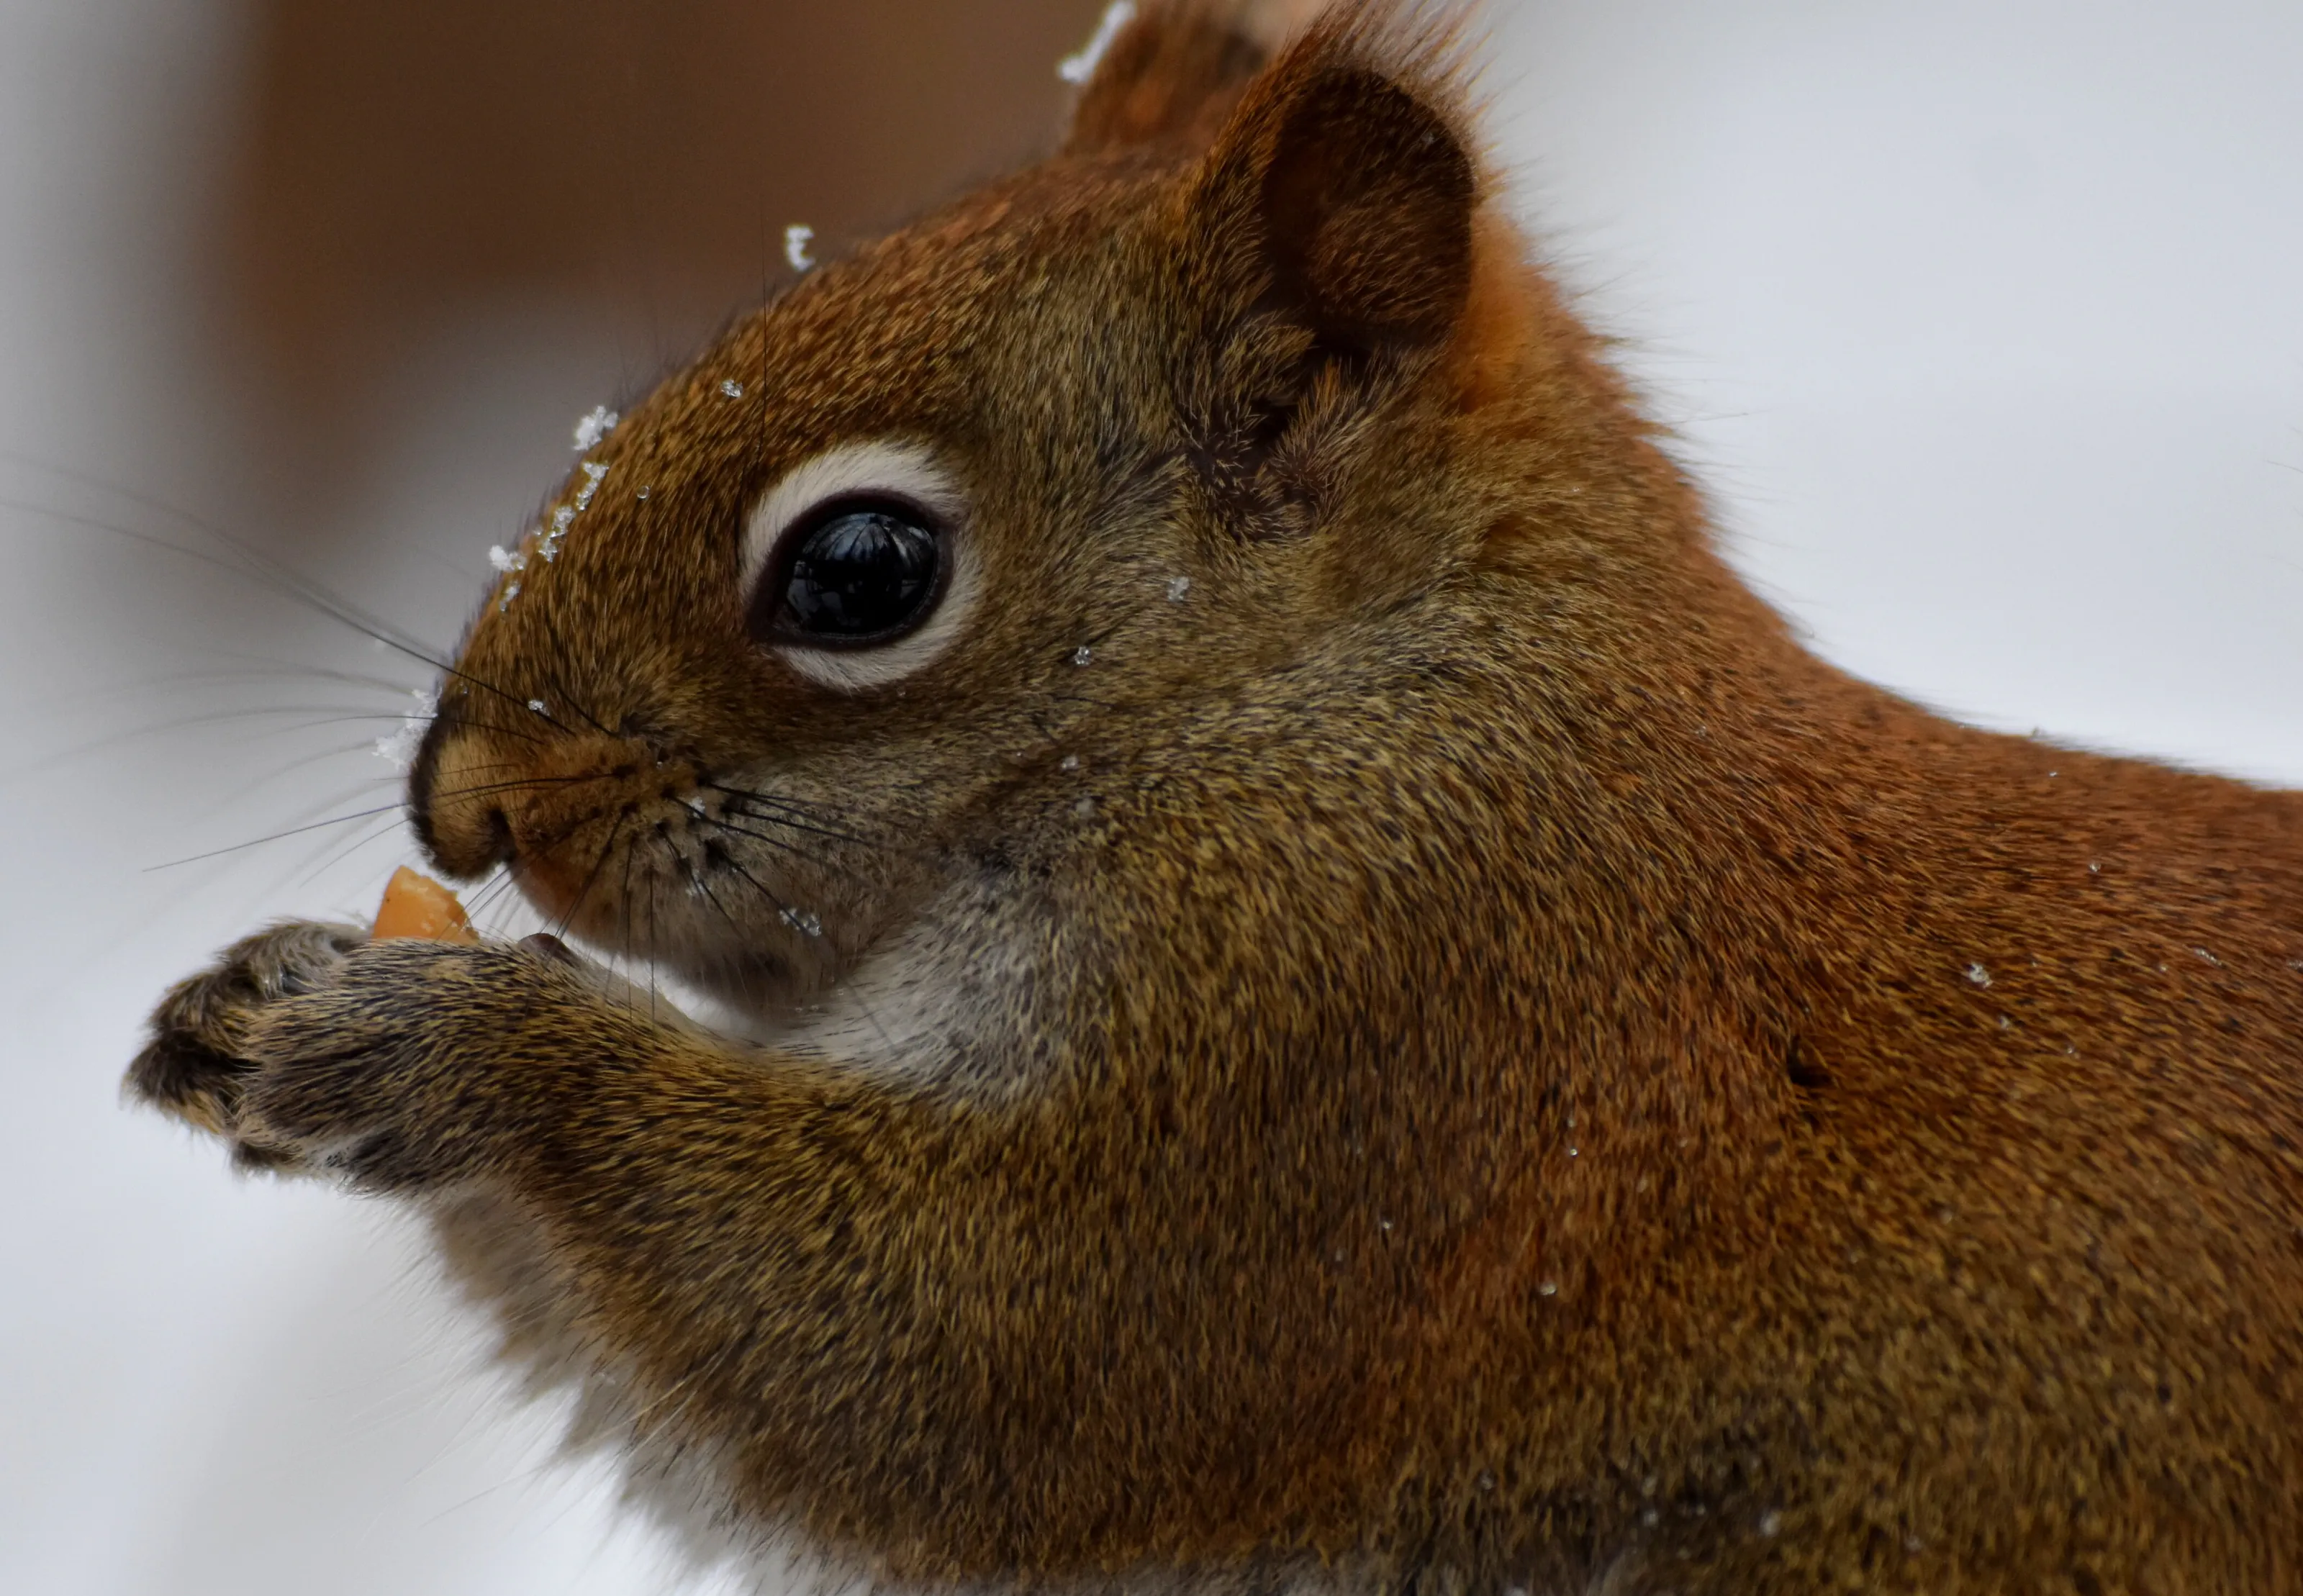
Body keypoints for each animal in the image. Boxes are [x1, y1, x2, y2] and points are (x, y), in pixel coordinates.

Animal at [127, 2, 2303, 1591]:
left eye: (858, 573)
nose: (461, 805)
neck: (1315, 707)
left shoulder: (1379, 1037)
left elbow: (945, 1362)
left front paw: (439, 1044)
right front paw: (257, 997)